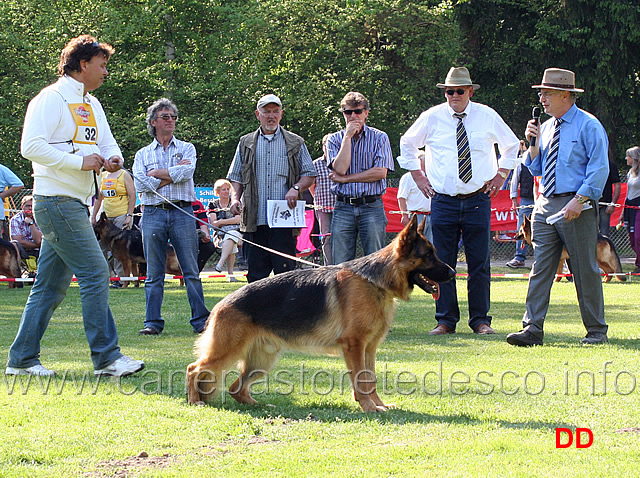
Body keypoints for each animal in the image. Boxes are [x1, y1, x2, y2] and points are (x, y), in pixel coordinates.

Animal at [186, 216, 456, 410]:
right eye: (428, 255)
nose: (453, 272)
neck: (375, 281)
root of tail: (220, 305)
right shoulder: (354, 346)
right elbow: (361, 380)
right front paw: (369, 408)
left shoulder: (369, 348)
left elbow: (370, 379)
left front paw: (378, 405)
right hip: (227, 353)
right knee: (194, 368)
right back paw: (194, 401)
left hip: (261, 361)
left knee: (235, 388)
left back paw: (258, 404)